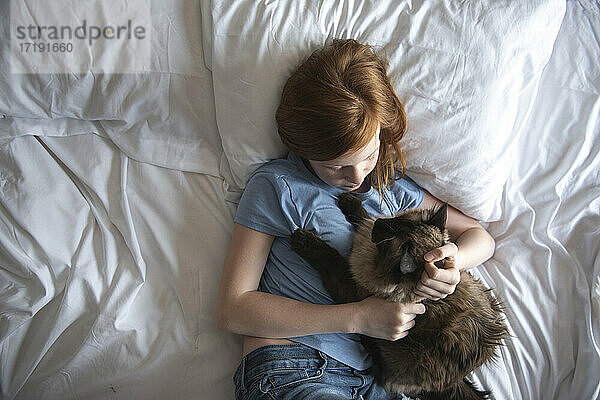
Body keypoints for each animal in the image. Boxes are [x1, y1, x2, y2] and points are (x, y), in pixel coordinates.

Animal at [288, 192, 508, 398]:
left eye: (388, 236)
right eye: (397, 222)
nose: (380, 222)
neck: (372, 257)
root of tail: (457, 379)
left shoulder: (350, 287)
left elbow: (330, 256)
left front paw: (303, 240)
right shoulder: (366, 231)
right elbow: (363, 217)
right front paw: (349, 201)